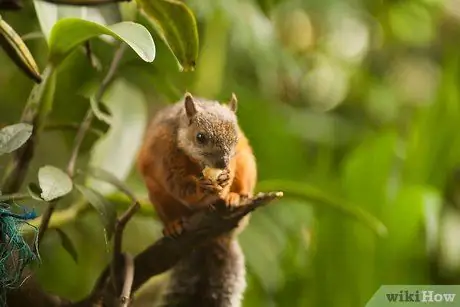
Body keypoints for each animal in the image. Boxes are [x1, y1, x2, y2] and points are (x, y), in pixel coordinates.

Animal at [137, 92, 258, 306]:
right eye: (200, 137)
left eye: (235, 138)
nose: (222, 163)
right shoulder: (165, 154)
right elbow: (178, 185)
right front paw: (200, 187)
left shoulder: (237, 157)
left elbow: (230, 174)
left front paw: (225, 184)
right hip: (158, 196)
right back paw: (173, 224)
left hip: (247, 164)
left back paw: (236, 197)